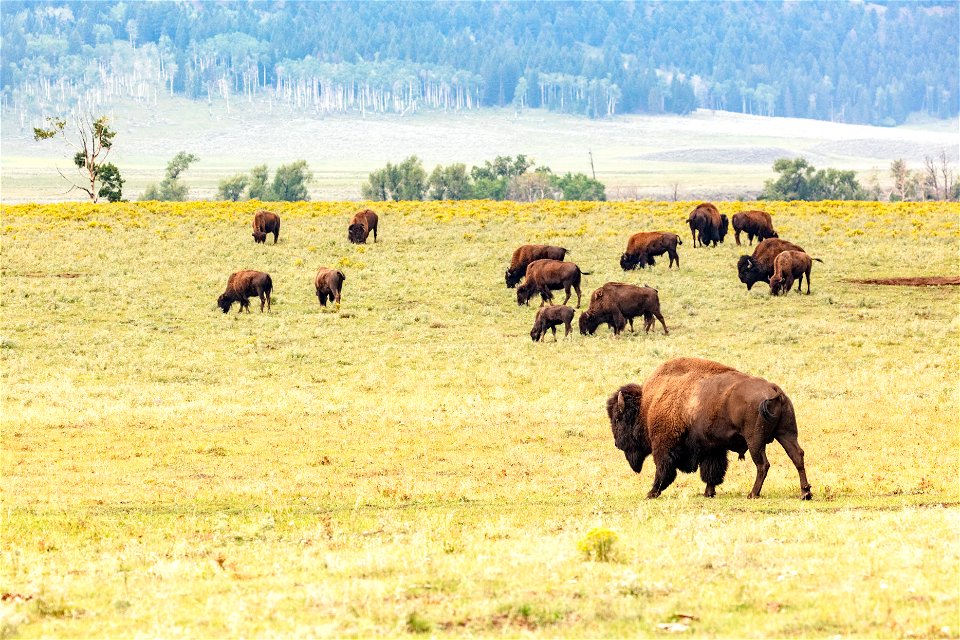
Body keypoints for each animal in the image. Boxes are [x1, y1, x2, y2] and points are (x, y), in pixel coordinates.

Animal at [608, 356, 808, 500]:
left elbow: (663, 470)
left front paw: (651, 493)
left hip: (755, 441)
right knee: (797, 456)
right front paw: (708, 492)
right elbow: (712, 471)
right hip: (786, 433)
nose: (617, 444)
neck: (646, 405)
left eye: (618, 419)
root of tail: (774, 390)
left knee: (763, 464)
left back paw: (753, 494)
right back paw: (805, 492)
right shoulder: (713, 448)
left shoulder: (663, 445)